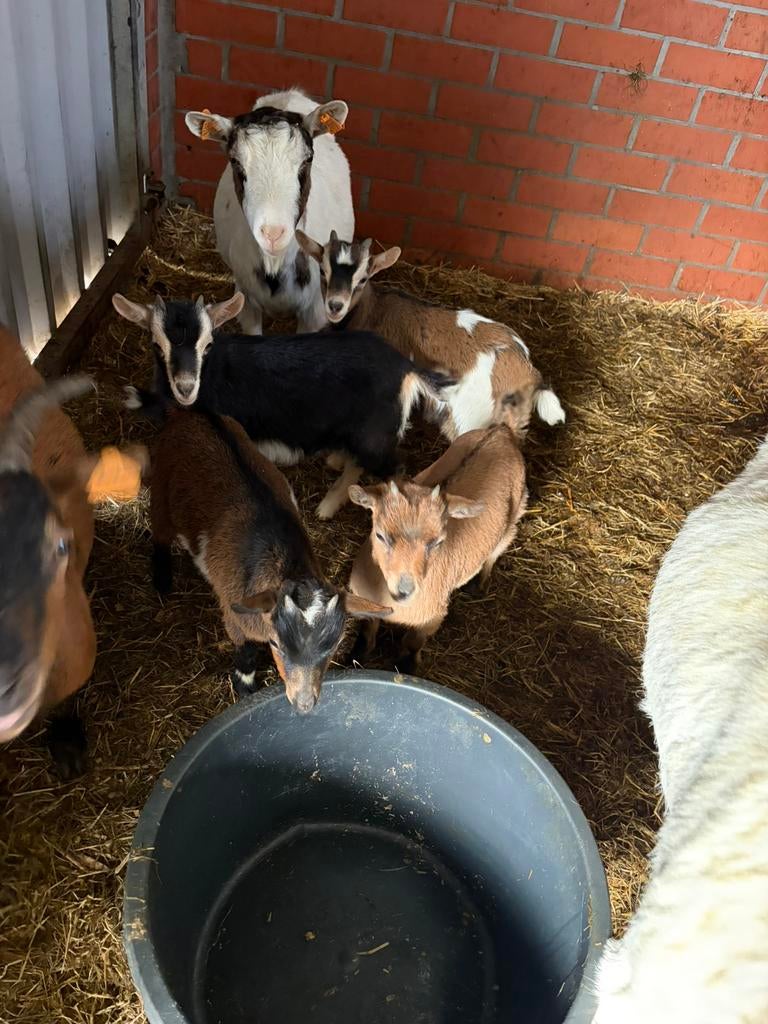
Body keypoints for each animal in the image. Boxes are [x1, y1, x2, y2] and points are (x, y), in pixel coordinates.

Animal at [113, 290, 453, 519]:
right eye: (157, 345)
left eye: (207, 345)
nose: (186, 388)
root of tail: (406, 368)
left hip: (375, 434)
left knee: (392, 467)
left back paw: (333, 506)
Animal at [146, 401, 391, 712]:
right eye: (275, 645)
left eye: (333, 646)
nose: (304, 703)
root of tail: (194, 413)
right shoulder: (235, 615)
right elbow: (246, 650)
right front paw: (245, 685)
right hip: (160, 487)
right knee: (160, 532)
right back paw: (162, 578)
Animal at [186, 88, 353, 334]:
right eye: (234, 161)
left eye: (309, 158)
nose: (273, 234)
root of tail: (288, 94)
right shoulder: (246, 300)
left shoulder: (314, 311)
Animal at [297, 230, 565, 442]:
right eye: (323, 271)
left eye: (363, 279)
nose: (335, 306)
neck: (374, 310)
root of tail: (528, 369)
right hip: (515, 418)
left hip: (471, 417)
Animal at [347, 424, 527, 671]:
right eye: (380, 535)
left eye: (438, 542)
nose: (404, 591)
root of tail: (501, 431)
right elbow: (367, 630)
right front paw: (356, 656)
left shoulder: (433, 617)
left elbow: (413, 642)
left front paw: (406, 666)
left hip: (514, 516)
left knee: (496, 551)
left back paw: (479, 585)